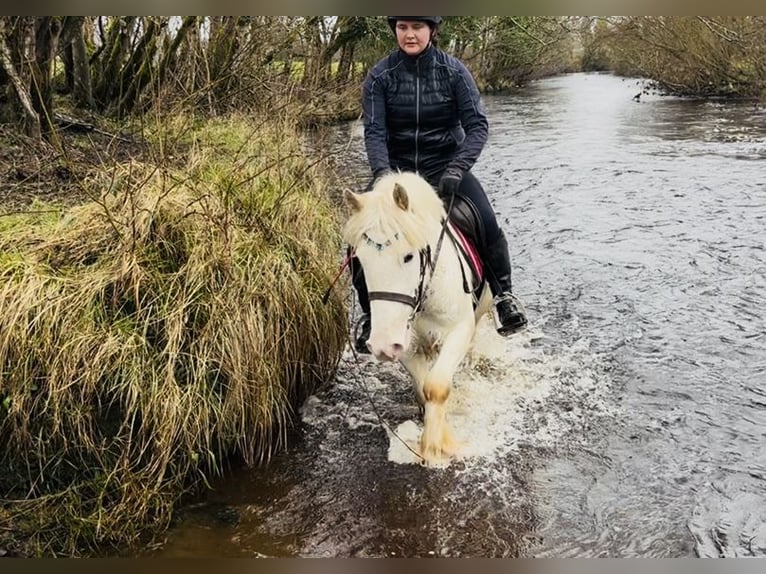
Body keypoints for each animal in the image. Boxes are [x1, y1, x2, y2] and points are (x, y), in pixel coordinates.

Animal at [343, 171, 492, 466]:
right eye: (360, 262)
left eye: (408, 256)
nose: (382, 344)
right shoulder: (406, 344)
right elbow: (424, 389)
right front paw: (431, 439)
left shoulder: (458, 330)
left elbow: (437, 386)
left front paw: (436, 448)